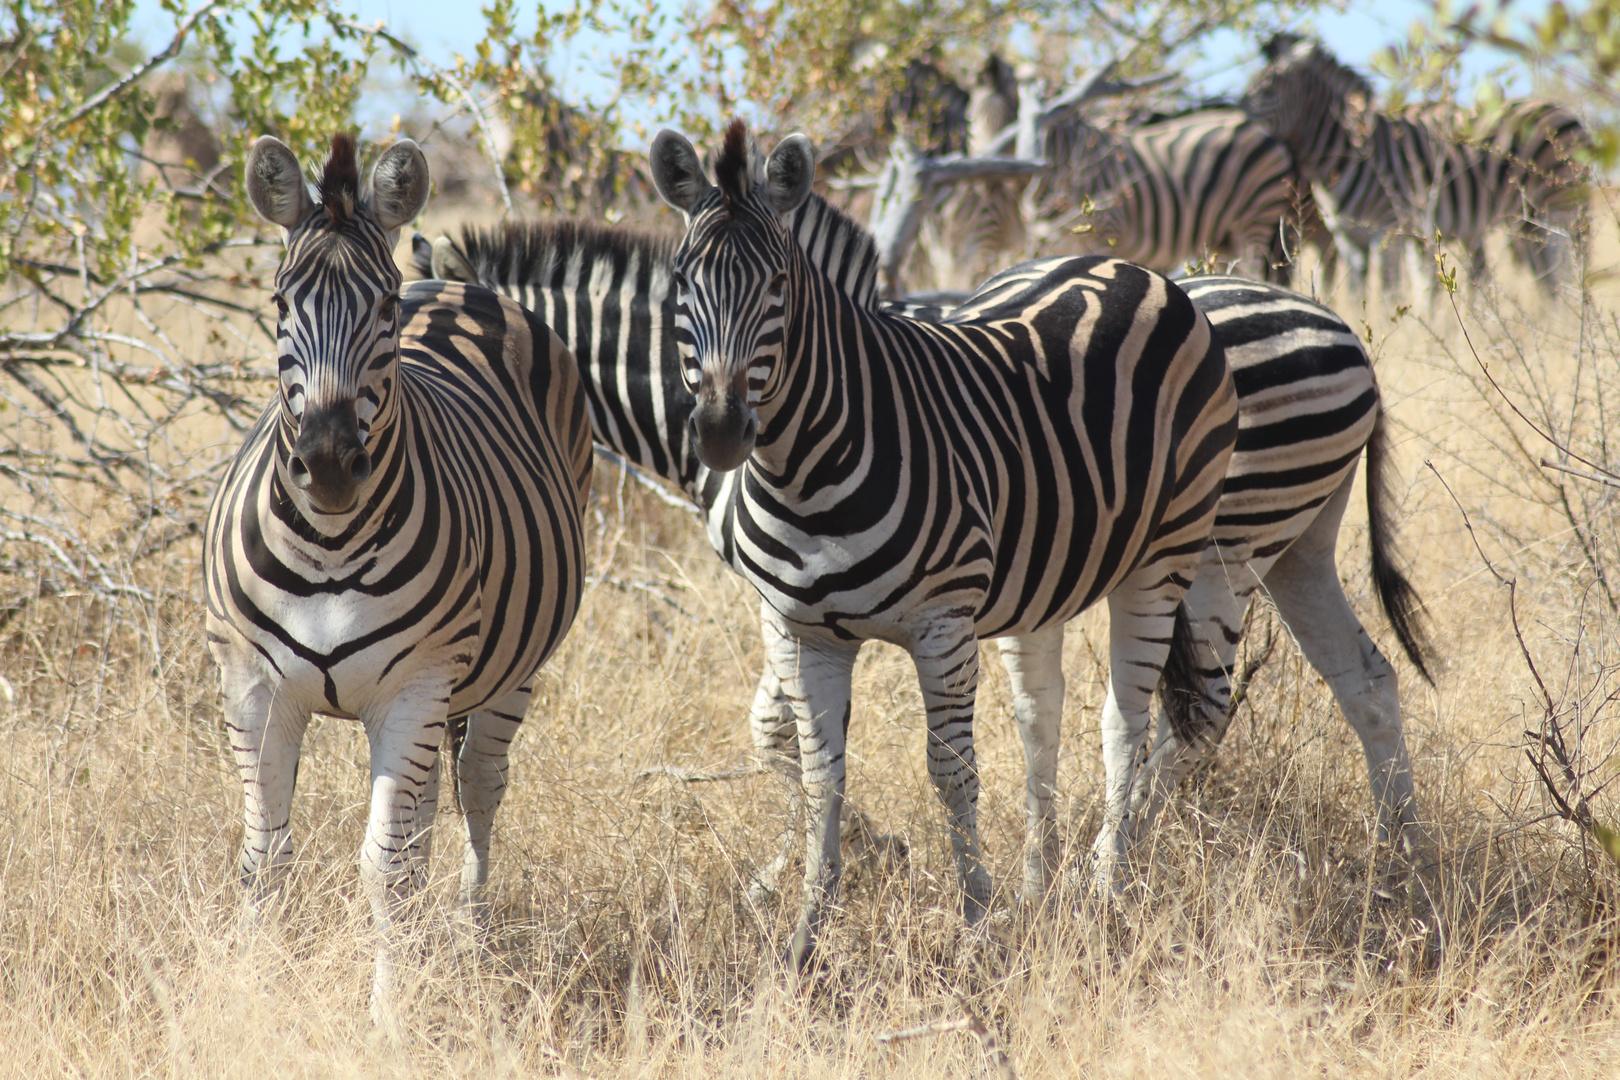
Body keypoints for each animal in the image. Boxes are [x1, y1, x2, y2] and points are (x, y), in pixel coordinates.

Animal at [205, 135, 592, 1023]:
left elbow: (387, 870)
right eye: (279, 302)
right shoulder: (251, 686)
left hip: (503, 671)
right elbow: (264, 858)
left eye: (381, 310)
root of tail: (452, 282)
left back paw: (473, 941)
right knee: (420, 817)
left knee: (476, 790)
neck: (329, 542)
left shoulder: (416, 687)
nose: (327, 464)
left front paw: (389, 1022)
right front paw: (252, 999)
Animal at [644, 118, 1237, 971]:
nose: (722, 432)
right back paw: (1039, 886)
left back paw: (1107, 892)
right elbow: (823, 778)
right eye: (682, 284)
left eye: (779, 285)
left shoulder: (942, 626)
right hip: (1047, 570)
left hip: (1166, 554)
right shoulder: (800, 631)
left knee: (1123, 722)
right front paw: (804, 939)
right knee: (1041, 717)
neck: (805, 468)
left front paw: (978, 926)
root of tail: (1122, 264)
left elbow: (951, 773)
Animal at [1244, 33, 1587, 296]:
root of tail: (1565, 110)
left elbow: (1388, 292)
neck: (1350, 153)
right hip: (1530, 221)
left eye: (1269, 88)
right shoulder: (1347, 239)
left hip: (1558, 208)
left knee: (1566, 266)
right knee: (1547, 273)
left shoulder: (1387, 231)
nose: (1239, 115)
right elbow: (1356, 294)